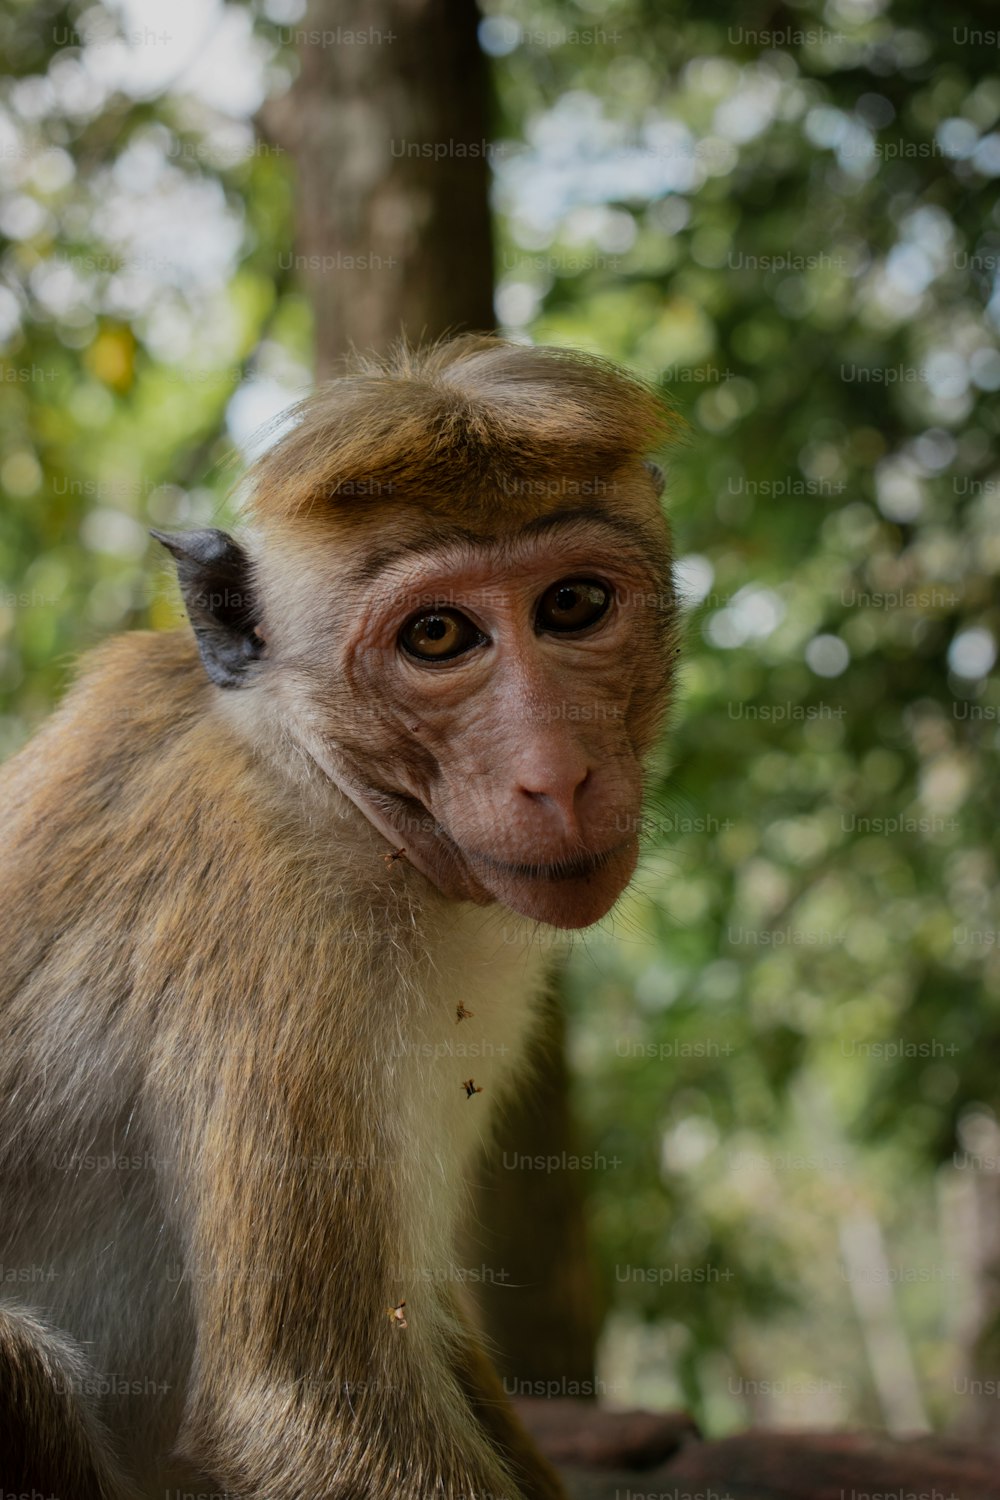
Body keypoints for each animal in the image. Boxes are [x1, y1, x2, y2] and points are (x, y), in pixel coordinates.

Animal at [0, 334, 677, 1494]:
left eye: (573, 606)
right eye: (439, 635)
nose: (556, 775)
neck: (321, 774)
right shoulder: (279, 920)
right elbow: (309, 1400)